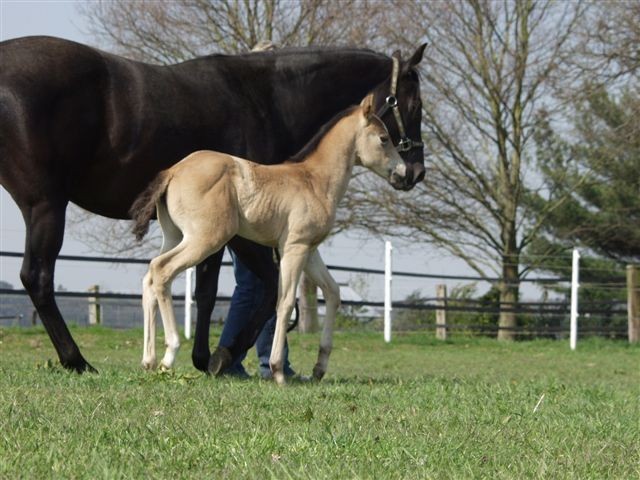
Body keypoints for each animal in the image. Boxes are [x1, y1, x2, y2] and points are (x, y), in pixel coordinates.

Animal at [0, 35, 424, 374]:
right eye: (413, 104)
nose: (414, 173)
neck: (266, 97)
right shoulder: (253, 239)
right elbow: (267, 291)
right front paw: (224, 357)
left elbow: (209, 293)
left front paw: (209, 358)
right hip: (47, 206)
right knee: (40, 277)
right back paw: (80, 360)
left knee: (150, 276)